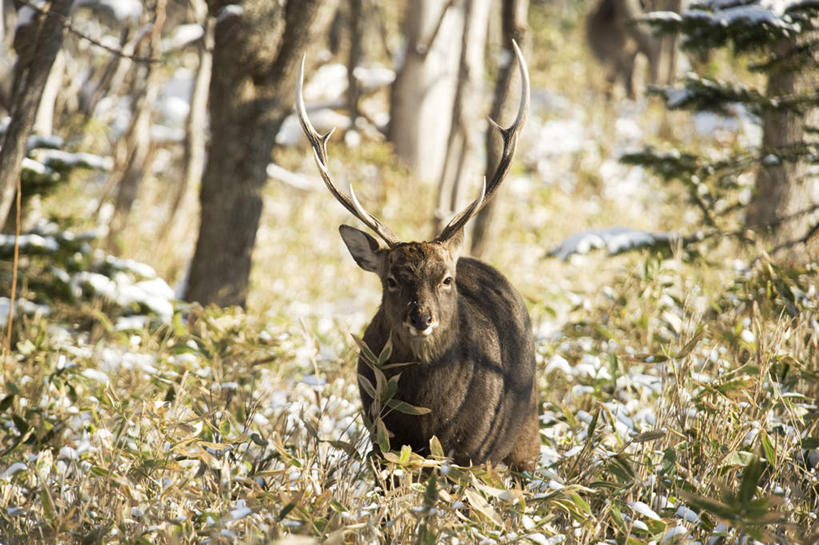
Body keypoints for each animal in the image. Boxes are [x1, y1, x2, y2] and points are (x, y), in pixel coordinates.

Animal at [298, 42, 540, 470]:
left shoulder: (473, 453)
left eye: (446, 279)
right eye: (392, 280)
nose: (422, 318)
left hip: (522, 437)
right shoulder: (383, 442)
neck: (426, 415)